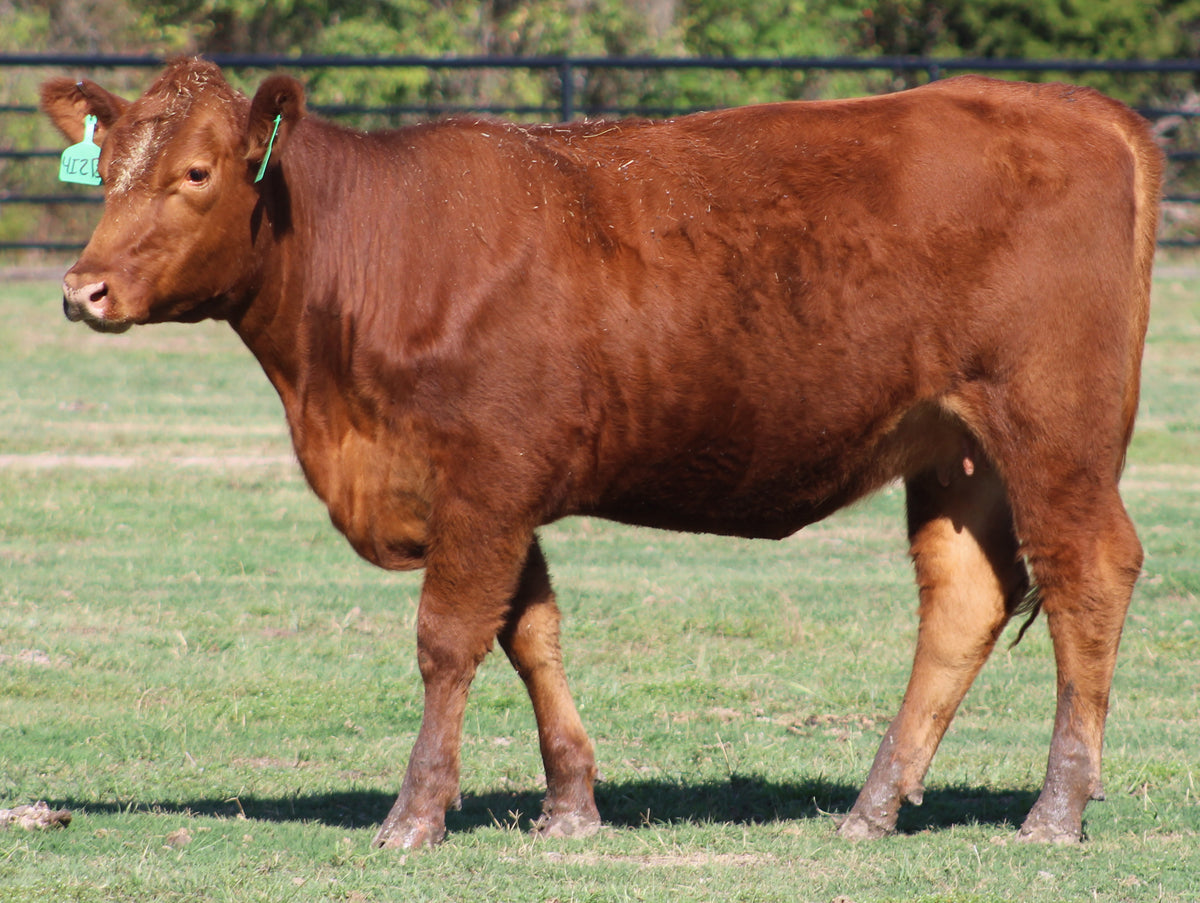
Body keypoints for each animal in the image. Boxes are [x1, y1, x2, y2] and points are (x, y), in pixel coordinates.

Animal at [42, 58, 1156, 845]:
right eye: (105, 171)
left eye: (195, 173)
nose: (83, 288)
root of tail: (1078, 107)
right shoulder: (499, 492)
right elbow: (530, 631)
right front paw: (571, 802)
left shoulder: (485, 479)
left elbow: (449, 638)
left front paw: (414, 815)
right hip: (954, 448)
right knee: (964, 598)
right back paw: (873, 805)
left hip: (1052, 428)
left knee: (1088, 571)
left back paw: (1056, 808)